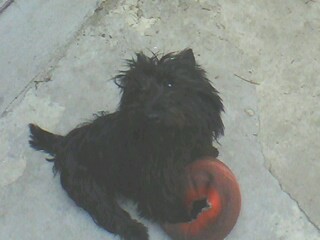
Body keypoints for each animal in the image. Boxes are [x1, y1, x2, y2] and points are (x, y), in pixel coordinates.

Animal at [28, 49, 222, 240]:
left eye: (170, 84)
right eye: (140, 91)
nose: (151, 116)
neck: (171, 136)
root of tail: (64, 142)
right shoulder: (154, 182)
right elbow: (165, 203)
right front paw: (191, 211)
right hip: (86, 183)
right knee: (106, 210)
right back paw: (136, 230)